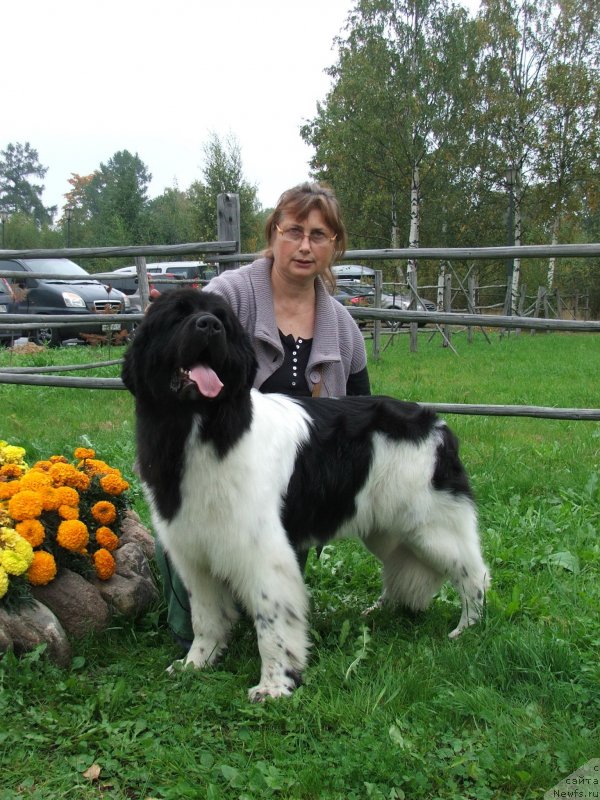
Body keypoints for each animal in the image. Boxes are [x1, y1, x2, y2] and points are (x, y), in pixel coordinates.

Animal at [120, 290, 488, 700]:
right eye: (177, 316)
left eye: (222, 321)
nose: (209, 326)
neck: (200, 427)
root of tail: (439, 425)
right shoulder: (195, 553)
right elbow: (206, 616)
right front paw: (197, 663)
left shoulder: (263, 554)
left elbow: (272, 623)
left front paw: (274, 685)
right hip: (386, 527)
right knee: (401, 567)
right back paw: (382, 612)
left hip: (431, 526)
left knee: (474, 573)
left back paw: (466, 630)